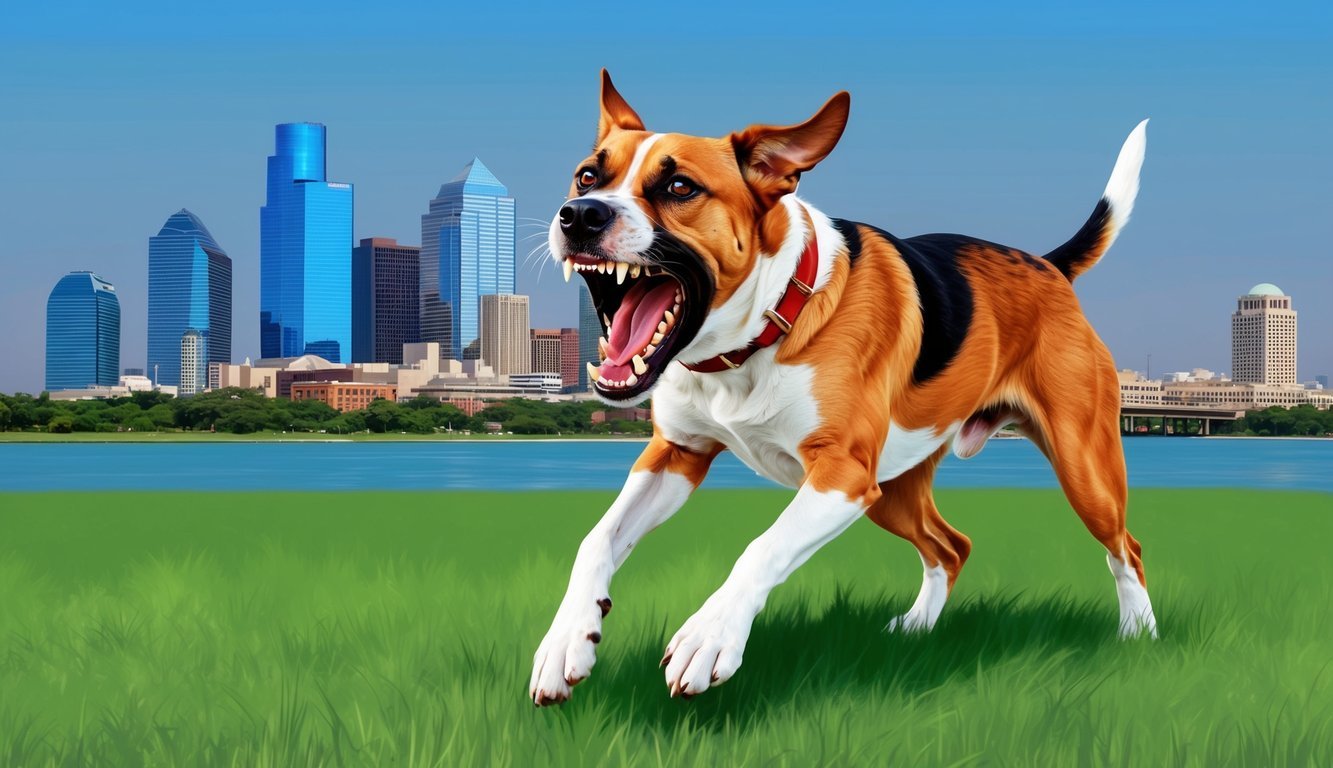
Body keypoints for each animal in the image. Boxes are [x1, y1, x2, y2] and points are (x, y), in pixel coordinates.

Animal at [530, 69, 1157, 704]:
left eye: (680, 186)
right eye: (588, 176)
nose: (579, 215)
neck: (763, 327)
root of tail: (1048, 264)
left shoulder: (842, 474)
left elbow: (761, 547)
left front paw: (708, 639)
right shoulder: (676, 454)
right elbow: (596, 539)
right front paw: (566, 641)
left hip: (1081, 466)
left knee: (1126, 549)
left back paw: (1139, 636)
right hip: (895, 487)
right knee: (951, 547)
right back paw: (917, 627)